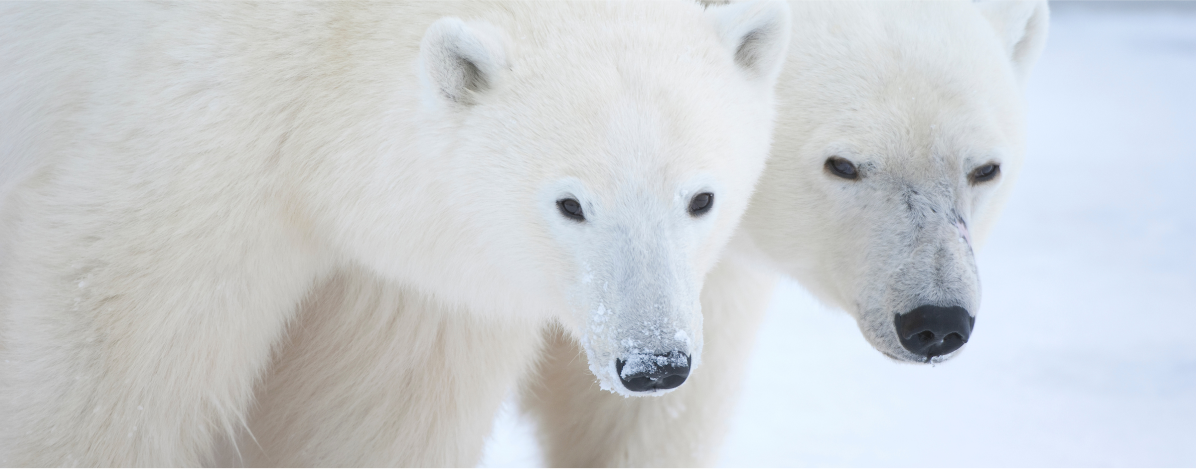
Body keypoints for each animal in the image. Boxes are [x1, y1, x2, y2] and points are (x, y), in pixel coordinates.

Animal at [0, 0, 792, 466]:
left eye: (701, 198)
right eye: (571, 204)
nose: (655, 363)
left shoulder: (411, 280)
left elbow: (371, 414)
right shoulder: (187, 142)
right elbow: (101, 374)